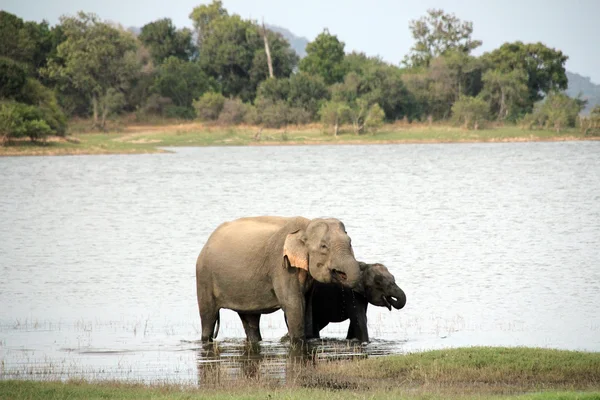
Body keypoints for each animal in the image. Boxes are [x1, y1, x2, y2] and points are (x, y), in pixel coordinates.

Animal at [196, 217, 360, 342]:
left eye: (350, 242)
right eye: (324, 246)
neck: (306, 226)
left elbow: (307, 305)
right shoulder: (281, 266)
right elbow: (293, 304)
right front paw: (297, 341)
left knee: (250, 320)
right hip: (204, 277)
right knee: (208, 317)